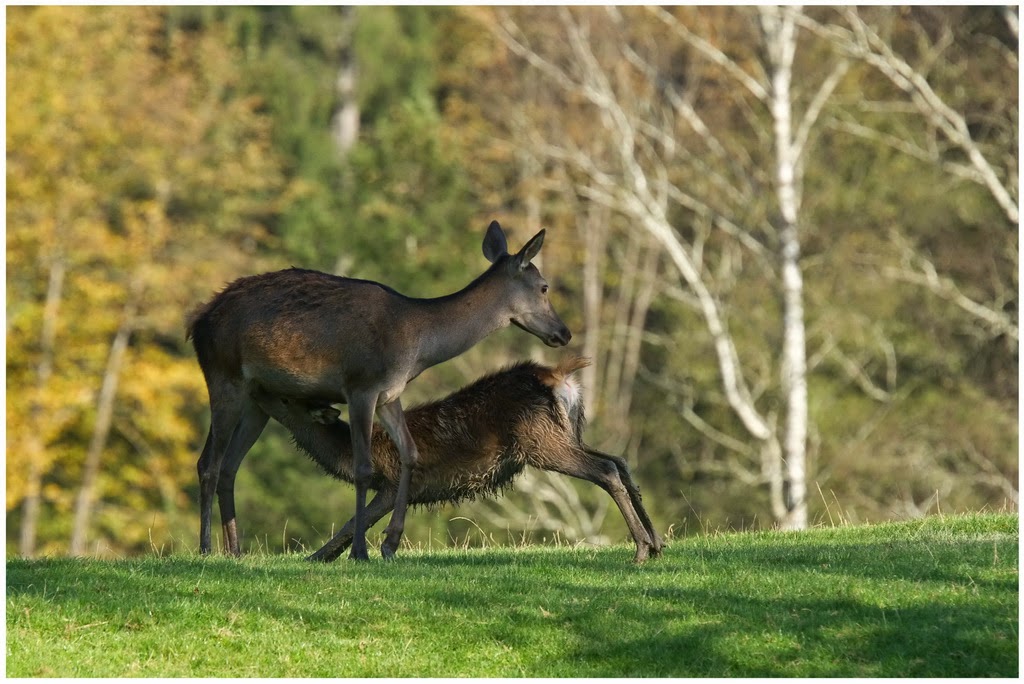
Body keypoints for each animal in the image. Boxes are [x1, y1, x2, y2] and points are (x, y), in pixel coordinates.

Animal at [188, 222, 573, 557]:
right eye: (544, 287)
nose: (565, 333)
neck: (415, 343)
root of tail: (197, 322)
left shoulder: (390, 394)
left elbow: (410, 453)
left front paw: (390, 543)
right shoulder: (361, 386)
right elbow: (362, 467)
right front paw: (359, 551)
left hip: (257, 397)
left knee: (229, 466)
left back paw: (236, 551)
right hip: (223, 375)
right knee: (208, 462)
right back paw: (206, 549)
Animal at [248, 356, 663, 565]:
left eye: (287, 399)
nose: (257, 389)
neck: (349, 456)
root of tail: (559, 375)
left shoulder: (395, 480)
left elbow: (355, 520)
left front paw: (319, 556)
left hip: (540, 440)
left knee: (606, 469)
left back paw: (640, 551)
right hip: (568, 432)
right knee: (620, 459)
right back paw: (657, 542)